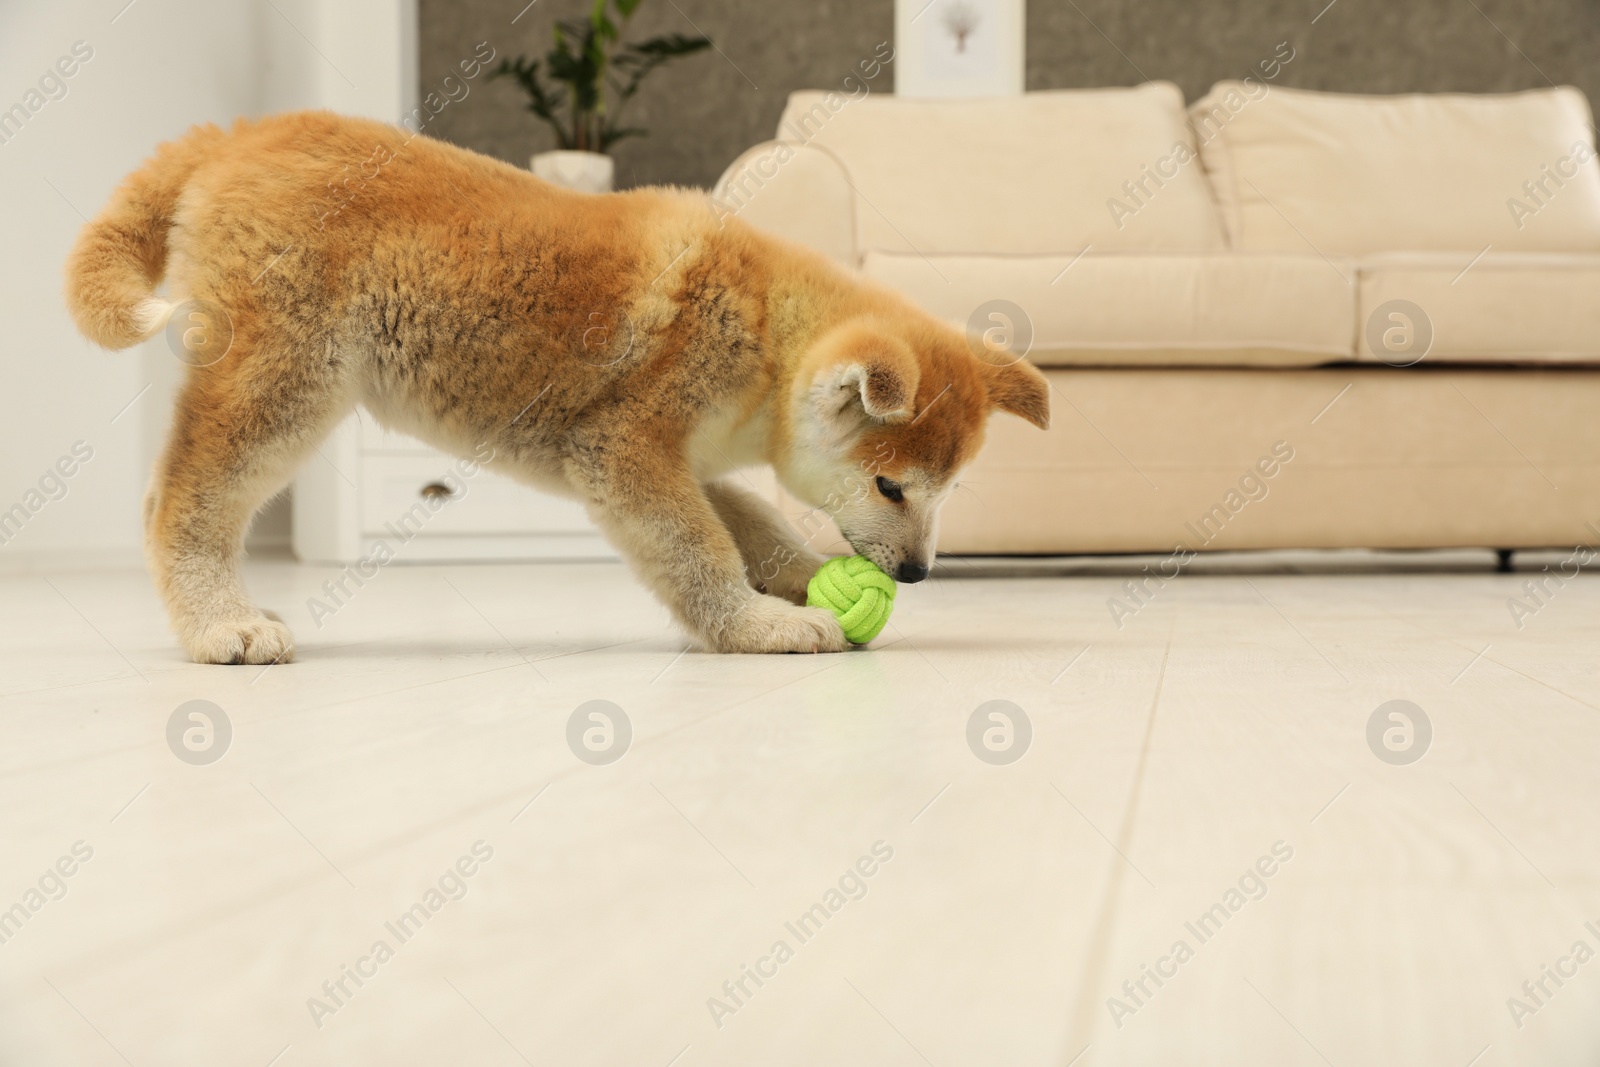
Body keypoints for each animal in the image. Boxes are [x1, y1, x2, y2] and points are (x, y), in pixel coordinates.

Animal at [68, 112, 1049, 662]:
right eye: (890, 485)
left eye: (949, 489)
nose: (917, 574)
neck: (766, 336)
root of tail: (238, 136)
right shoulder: (622, 452)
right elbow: (698, 549)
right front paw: (757, 626)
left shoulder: (684, 458)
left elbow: (751, 523)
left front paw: (807, 578)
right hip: (286, 385)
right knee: (178, 501)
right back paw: (220, 625)